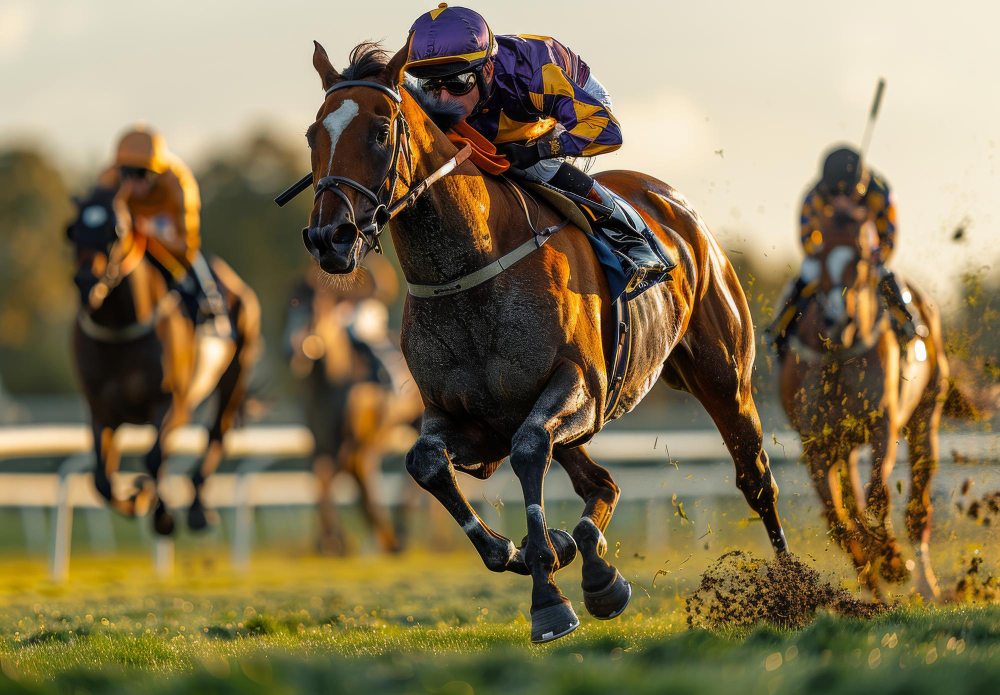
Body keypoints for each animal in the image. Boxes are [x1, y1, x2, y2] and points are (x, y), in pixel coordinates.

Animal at [67, 186, 261, 534]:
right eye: (72, 230)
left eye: (116, 229)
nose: (86, 281)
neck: (120, 327)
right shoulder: (100, 411)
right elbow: (101, 479)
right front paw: (137, 498)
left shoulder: (171, 402)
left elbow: (155, 457)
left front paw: (161, 514)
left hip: (237, 371)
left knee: (217, 433)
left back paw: (197, 510)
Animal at [286, 259, 422, 554]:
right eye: (291, 304)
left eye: (315, 308)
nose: (290, 351)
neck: (333, 380)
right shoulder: (321, 440)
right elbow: (322, 475)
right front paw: (331, 540)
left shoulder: (353, 439)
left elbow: (340, 472)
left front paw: (343, 538)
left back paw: (398, 531)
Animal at [776, 200, 947, 600]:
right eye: (820, 251)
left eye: (862, 257)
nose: (838, 319)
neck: (839, 354)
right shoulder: (816, 444)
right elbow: (839, 520)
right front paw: (879, 562)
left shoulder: (883, 426)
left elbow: (877, 497)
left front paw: (894, 561)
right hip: (844, 447)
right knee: (850, 508)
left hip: (925, 413)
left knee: (918, 508)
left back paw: (926, 585)